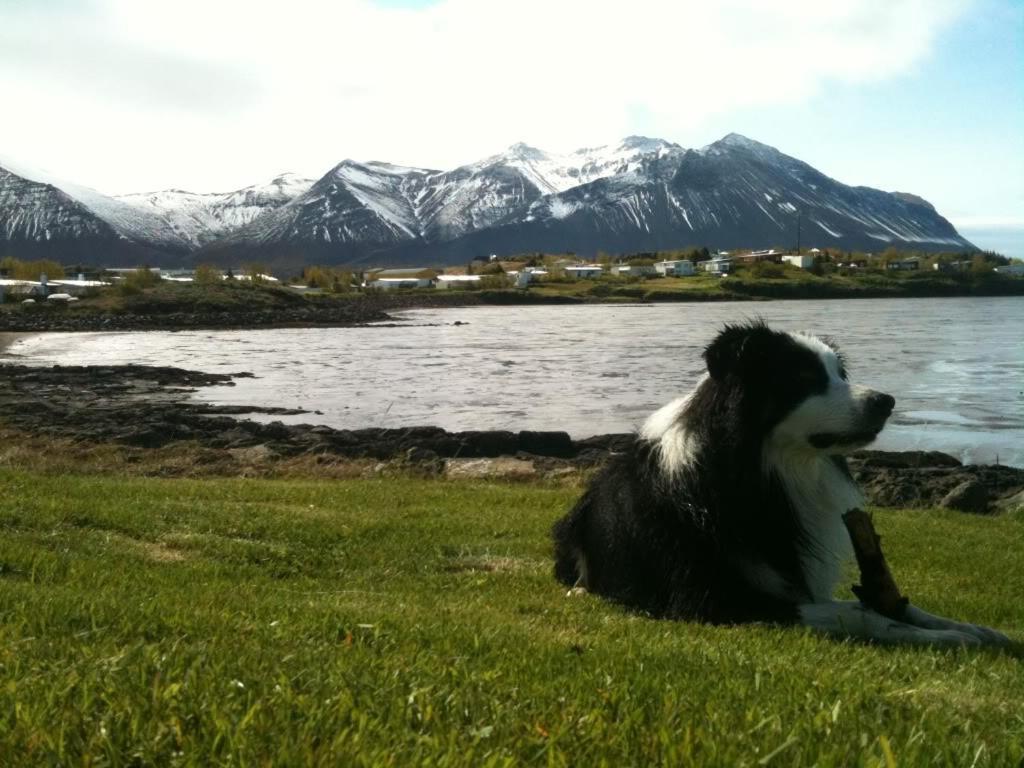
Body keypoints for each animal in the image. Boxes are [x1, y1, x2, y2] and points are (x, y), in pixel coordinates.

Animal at [552, 321, 1007, 647]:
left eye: (840, 373)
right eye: (805, 378)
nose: (886, 402)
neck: (759, 468)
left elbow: (889, 605)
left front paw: (970, 628)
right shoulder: (710, 598)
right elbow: (860, 612)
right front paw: (948, 637)